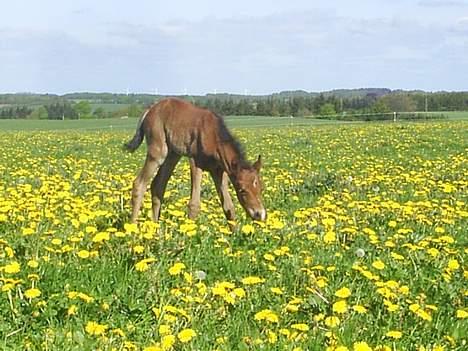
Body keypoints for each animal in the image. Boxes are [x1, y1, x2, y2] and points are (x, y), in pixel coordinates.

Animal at [123, 97, 266, 223]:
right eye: (242, 190)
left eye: (261, 188)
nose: (260, 214)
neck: (213, 136)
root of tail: (150, 109)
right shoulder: (195, 162)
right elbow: (194, 205)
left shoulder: (219, 171)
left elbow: (228, 206)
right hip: (158, 152)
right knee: (139, 184)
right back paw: (133, 228)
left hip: (172, 155)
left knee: (157, 186)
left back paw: (156, 229)